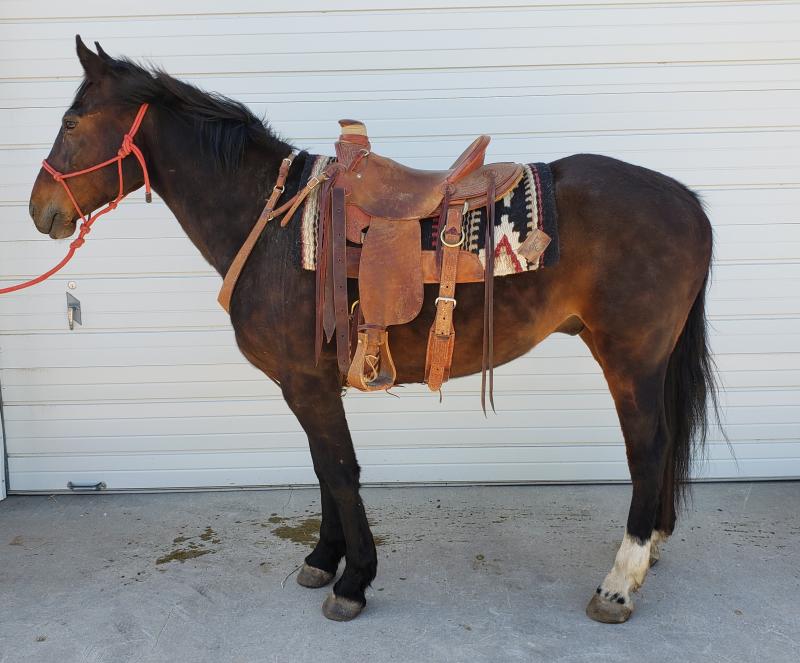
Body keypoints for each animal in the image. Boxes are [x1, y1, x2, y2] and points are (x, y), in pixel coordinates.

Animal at [25, 39, 716, 624]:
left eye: (72, 123)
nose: (39, 211)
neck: (271, 227)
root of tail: (686, 200)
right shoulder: (306, 385)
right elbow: (322, 468)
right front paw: (322, 560)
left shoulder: (306, 383)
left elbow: (340, 469)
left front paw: (353, 581)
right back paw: (650, 551)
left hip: (630, 359)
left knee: (649, 450)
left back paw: (619, 584)